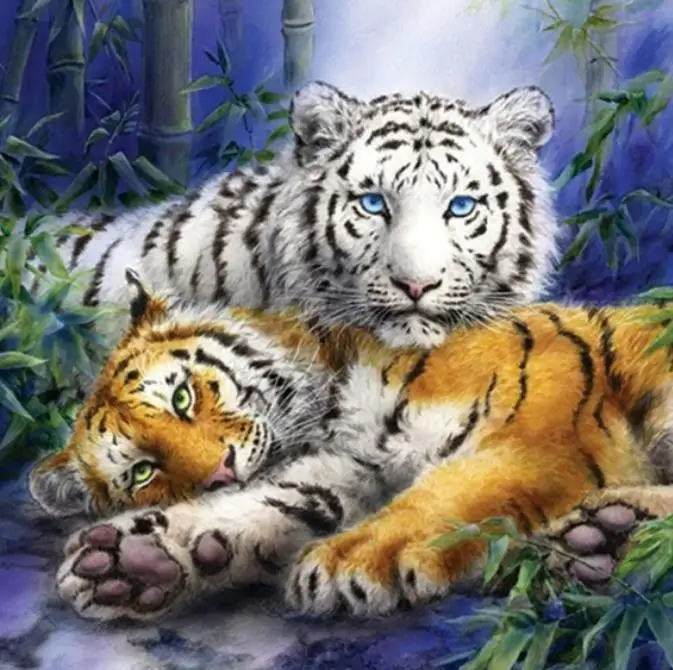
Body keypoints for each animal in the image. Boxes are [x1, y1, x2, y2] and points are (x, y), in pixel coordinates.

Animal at [29, 269, 673, 622]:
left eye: (183, 398)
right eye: (142, 472)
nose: (219, 472)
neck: (332, 409)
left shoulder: (538, 433)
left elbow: (449, 492)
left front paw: (350, 561)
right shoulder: (349, 467)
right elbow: (268, 504)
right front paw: (131, 561)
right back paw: (607, 536)